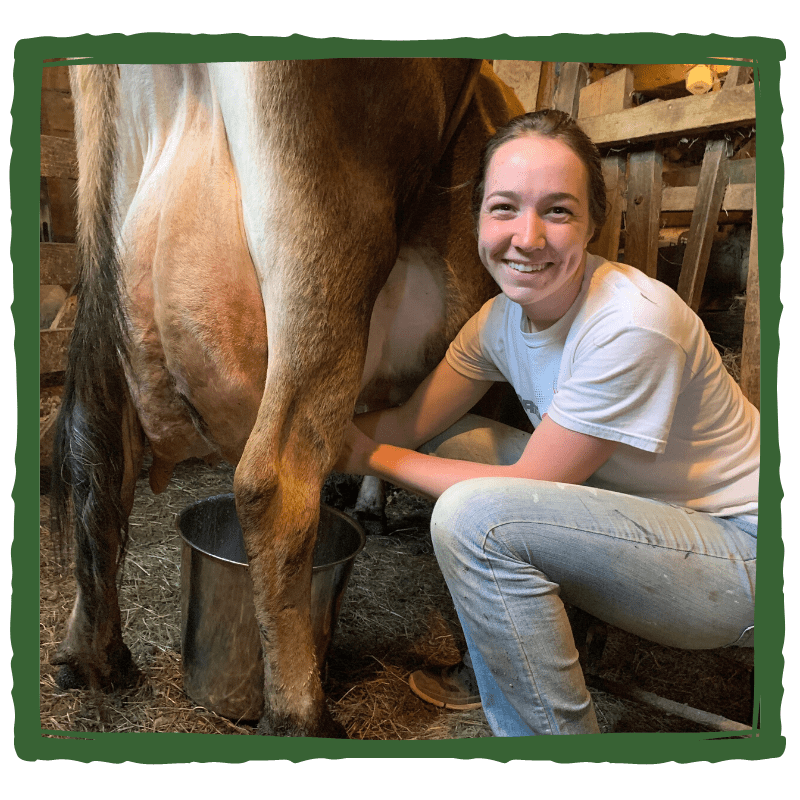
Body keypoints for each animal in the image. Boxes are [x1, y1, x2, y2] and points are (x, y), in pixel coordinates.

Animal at [50, 59, 523, 738]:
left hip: (106, 278)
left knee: (98, 461)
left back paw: (93, 657)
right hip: (324, 245)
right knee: (273, 482)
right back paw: (302, 714)